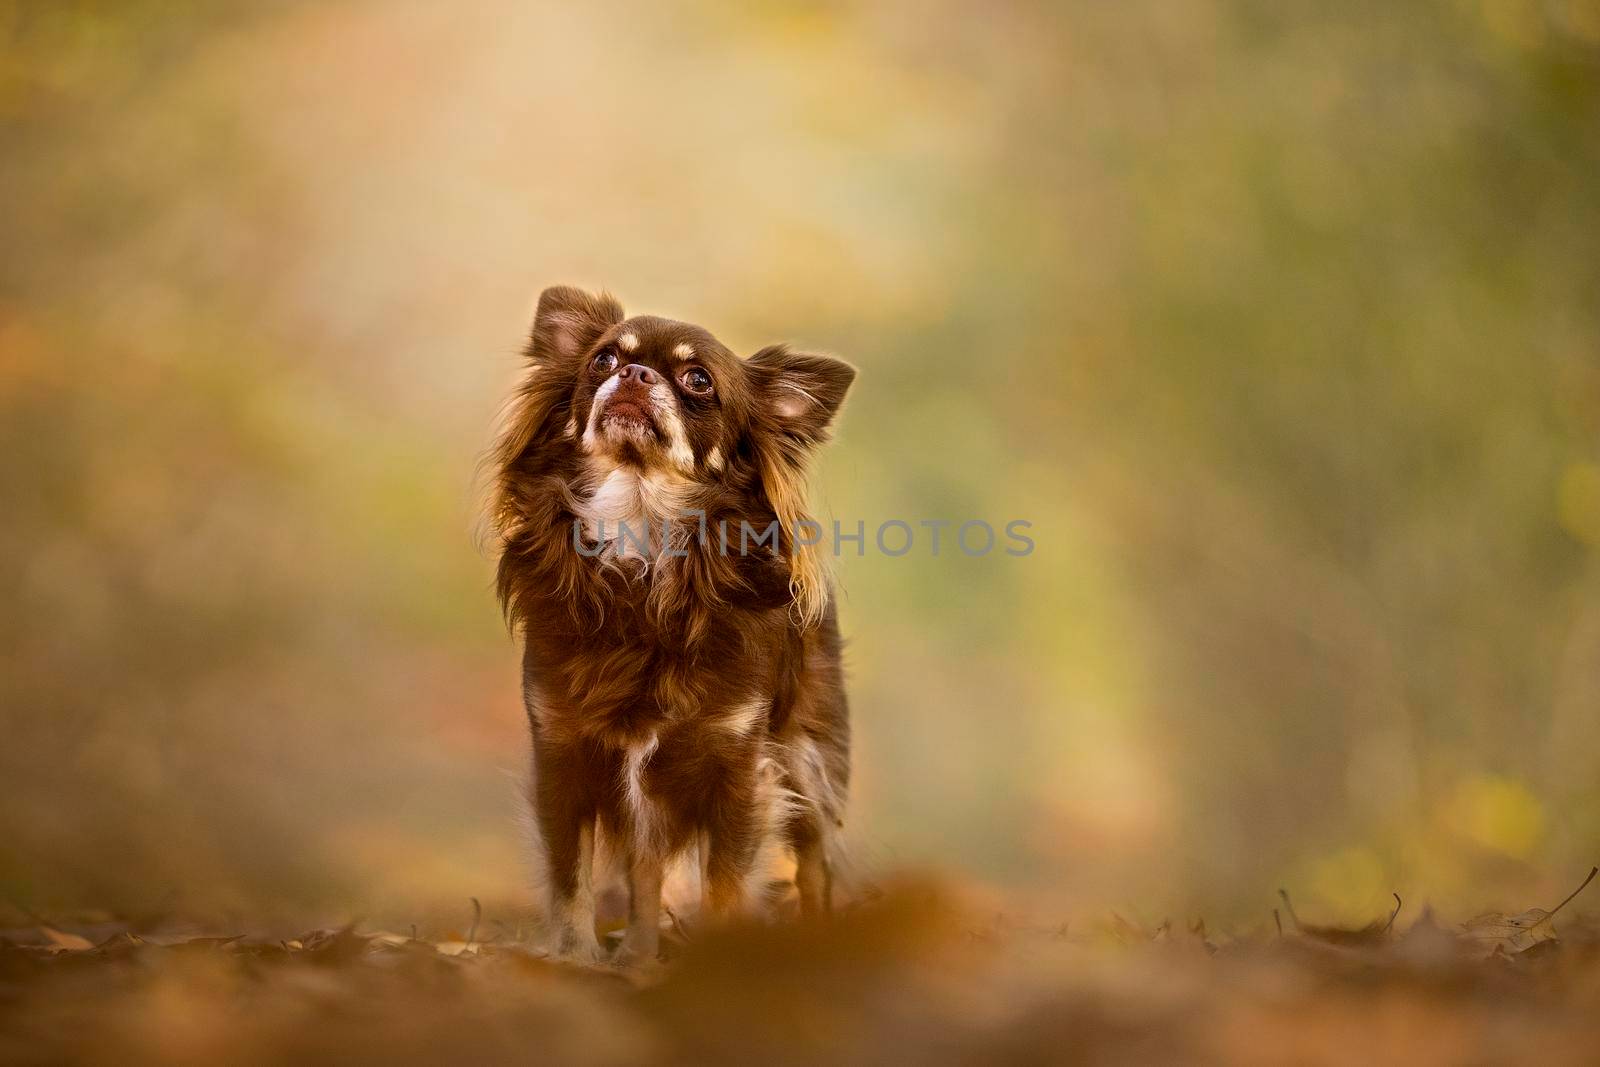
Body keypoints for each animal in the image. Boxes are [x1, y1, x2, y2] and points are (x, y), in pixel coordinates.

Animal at [486, 286, 857, 966]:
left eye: (698, 380)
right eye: (603, 360)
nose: (634, 374)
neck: (640, 537)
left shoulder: (739, 771)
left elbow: (725, 885)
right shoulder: (563, 758)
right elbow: (571, 880)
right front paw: (576, 960)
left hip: (812, 761)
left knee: (814, 865)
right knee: (645, 874)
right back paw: (636, 956)